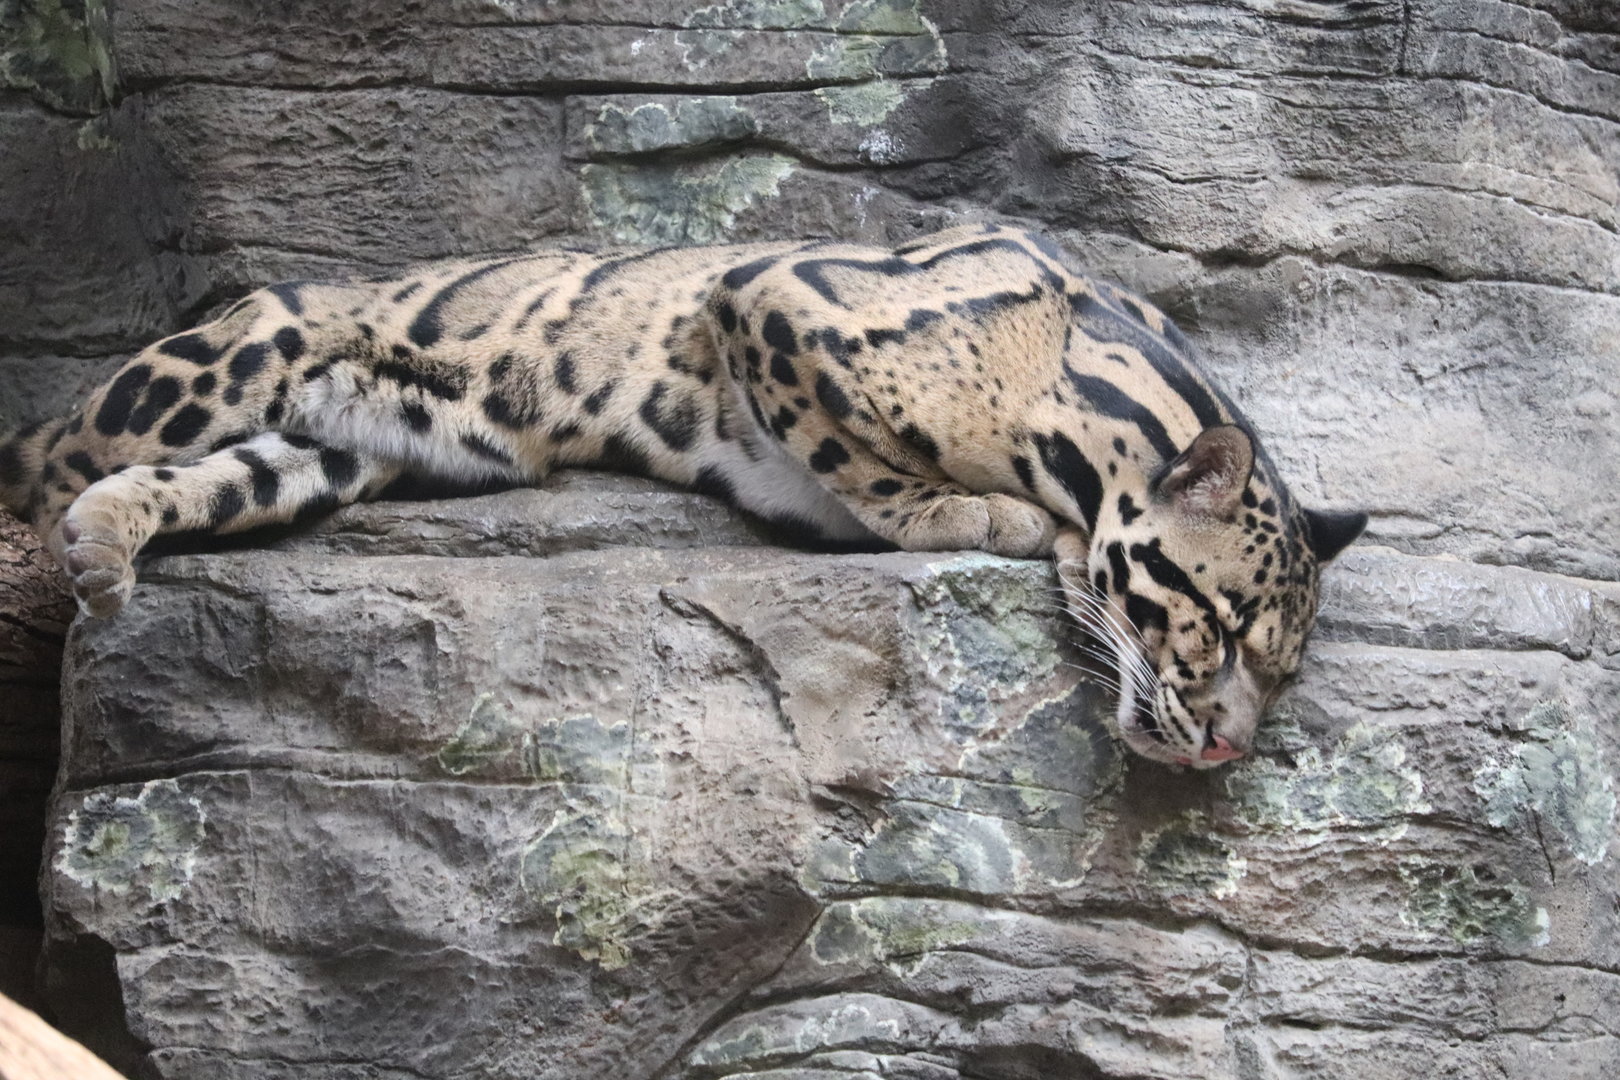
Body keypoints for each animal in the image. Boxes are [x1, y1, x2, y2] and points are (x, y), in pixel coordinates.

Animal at [0, 223, 1366, 769]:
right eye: (1220, 628)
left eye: (1283, 667)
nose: (1232, 750)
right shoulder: (775, 299)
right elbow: (863, 462)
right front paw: (974, 515)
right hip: (238, 354)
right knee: (61, 443)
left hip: (333, 445)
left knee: (191, 476)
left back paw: (107, 539)